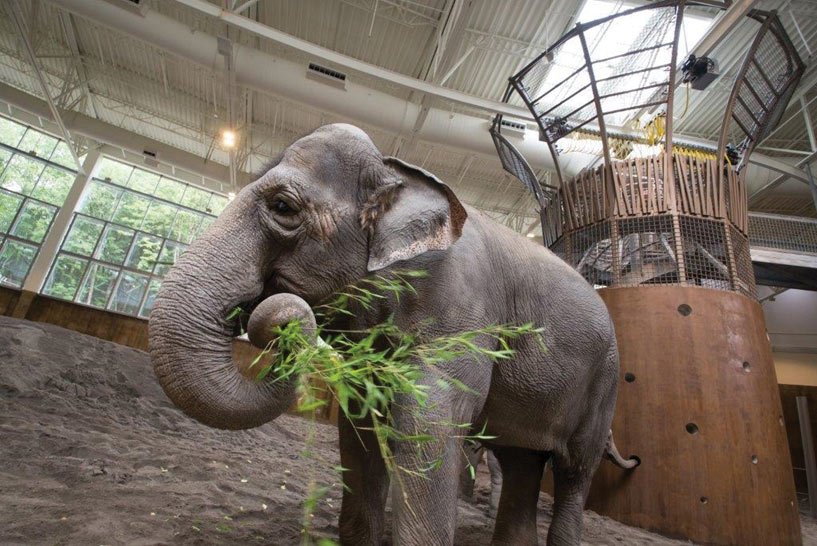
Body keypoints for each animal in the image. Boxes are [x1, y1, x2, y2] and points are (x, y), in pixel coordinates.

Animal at [149, 123, 638, 545]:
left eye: (283, 207)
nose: (276, 324)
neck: (396, 172)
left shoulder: (460, 311)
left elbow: (430, 426)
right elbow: (360, 429)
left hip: (605, 384)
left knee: (574, 471)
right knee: (521, 461)